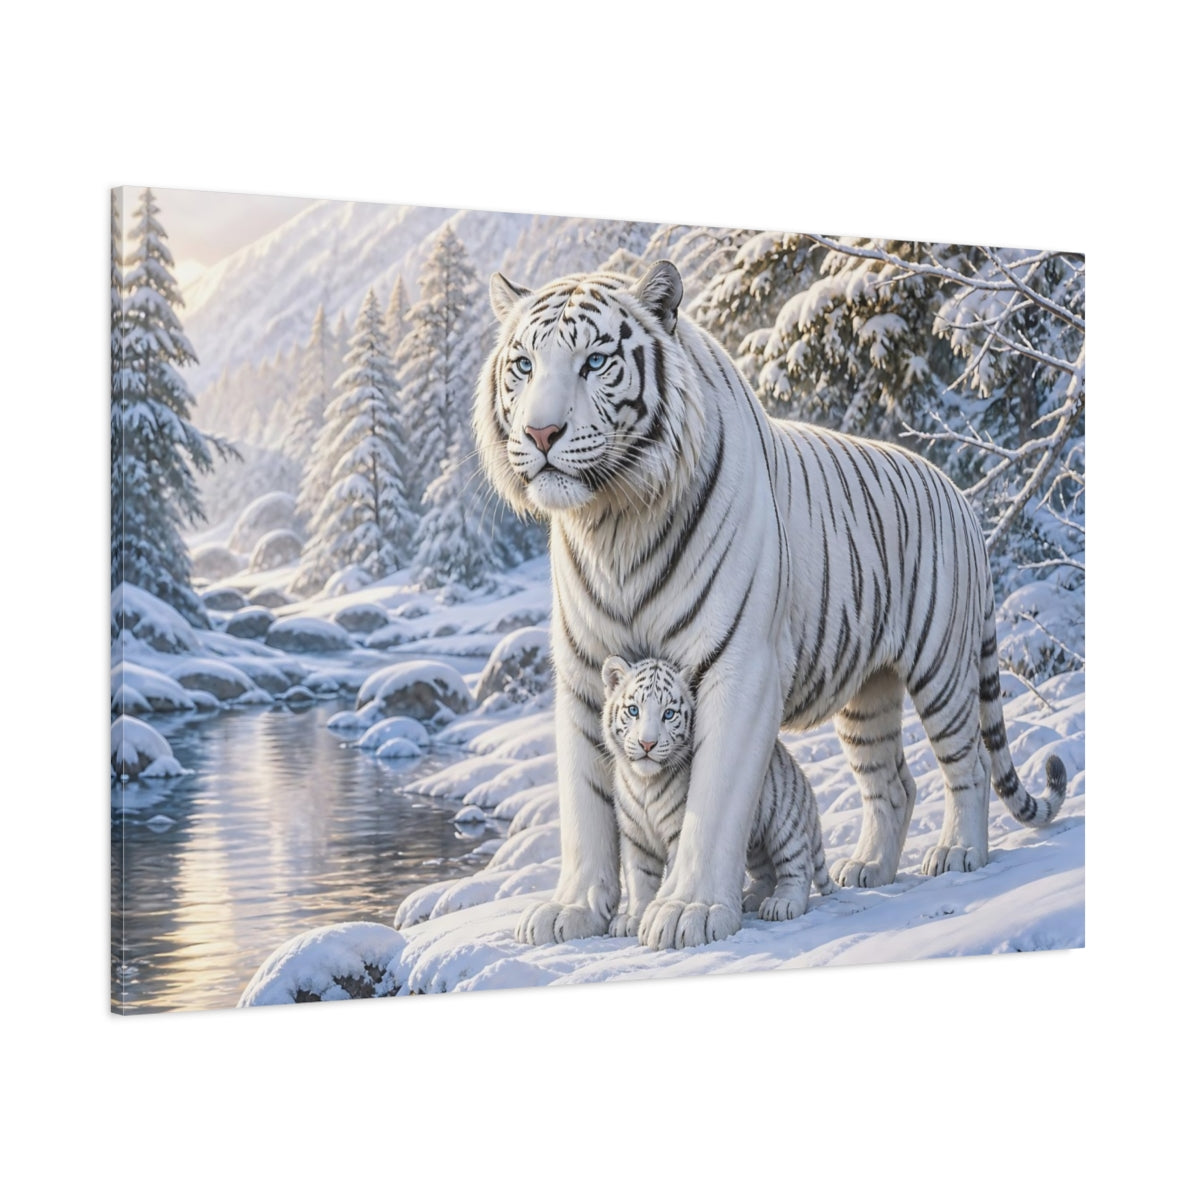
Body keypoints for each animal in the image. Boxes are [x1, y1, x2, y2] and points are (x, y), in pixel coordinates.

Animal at [601, 654, 834, 937]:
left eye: (669, 714)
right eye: (634, 710)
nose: (647, 744)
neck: (644, 782)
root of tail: (803, 779)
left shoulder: (678, 832)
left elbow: (675, 872)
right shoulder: (635, 837)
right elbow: (638, 880)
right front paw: (633, 918)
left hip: (785, 826)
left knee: (798, 867)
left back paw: (782, 904)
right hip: (754, 844)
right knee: (765, 872)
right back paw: (751, 898)